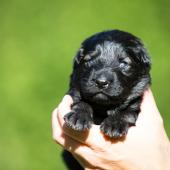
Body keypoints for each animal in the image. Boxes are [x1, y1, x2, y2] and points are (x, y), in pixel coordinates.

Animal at [62, 29, 151, 169]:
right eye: (88, 60)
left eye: (123, 63)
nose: (101, 82)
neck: (103, 107)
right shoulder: (74, 92)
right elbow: (81, 102)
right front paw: (78, 117)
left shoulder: (136, 101)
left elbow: (128, 111)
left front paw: (115, 124)